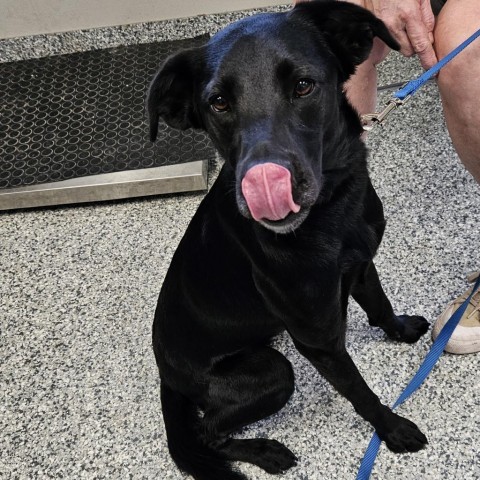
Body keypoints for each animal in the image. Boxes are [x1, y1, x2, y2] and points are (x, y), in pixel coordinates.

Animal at [148, 1, 430, 478]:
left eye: (303, 85)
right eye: (218, 103)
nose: (264, 184)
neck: (334, 211)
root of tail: (167, 375)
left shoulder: (361, 266)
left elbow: (380, 306)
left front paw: (401, 329)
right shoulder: (319, 341)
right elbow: (360, 391)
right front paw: (391, 428)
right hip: (274, 372)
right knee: (209, 433)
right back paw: (267, 452)